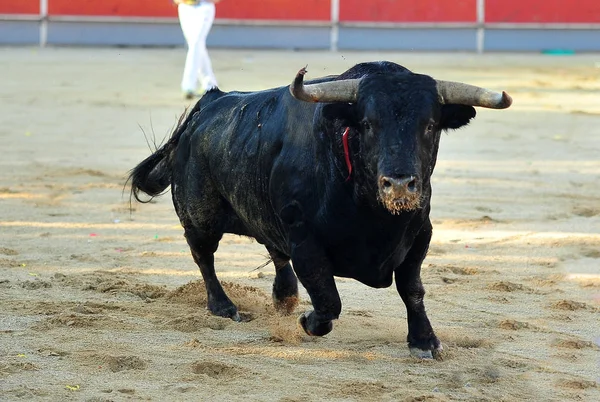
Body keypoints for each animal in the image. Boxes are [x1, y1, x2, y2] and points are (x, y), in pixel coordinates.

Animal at [127, 61, 510, 360]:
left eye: (429, 124)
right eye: (367, 124)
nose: (400, 184)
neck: (374, 217)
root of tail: (208, 104)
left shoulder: (420, 234)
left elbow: (412, 289)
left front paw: (425, 341)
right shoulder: (305, 239)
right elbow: (328, 300)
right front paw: (308, 323)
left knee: (272, 250)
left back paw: (285, 298)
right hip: (199, 214)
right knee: (203, 256)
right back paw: (224, 307)